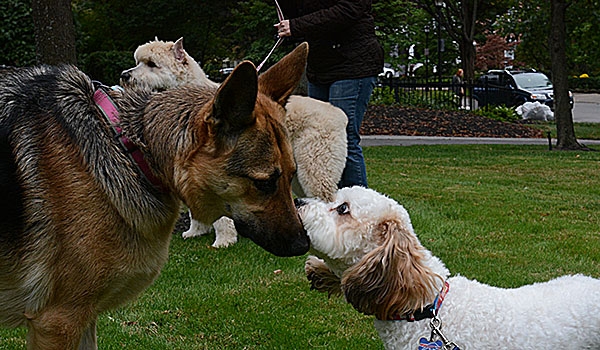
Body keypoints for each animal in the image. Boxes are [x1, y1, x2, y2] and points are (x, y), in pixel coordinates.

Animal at [0, 41, 310, 348]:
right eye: (265, 183)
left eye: (290, 176)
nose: (304, 245)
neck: (131, 147)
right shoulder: (58, 321)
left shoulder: (80, 319)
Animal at [120, 37, 346, 246]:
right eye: (138, 62)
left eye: (152, 64)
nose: (125, 75)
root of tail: (339, 113)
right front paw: (196, 230)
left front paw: (224, 240)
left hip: (314, 172)